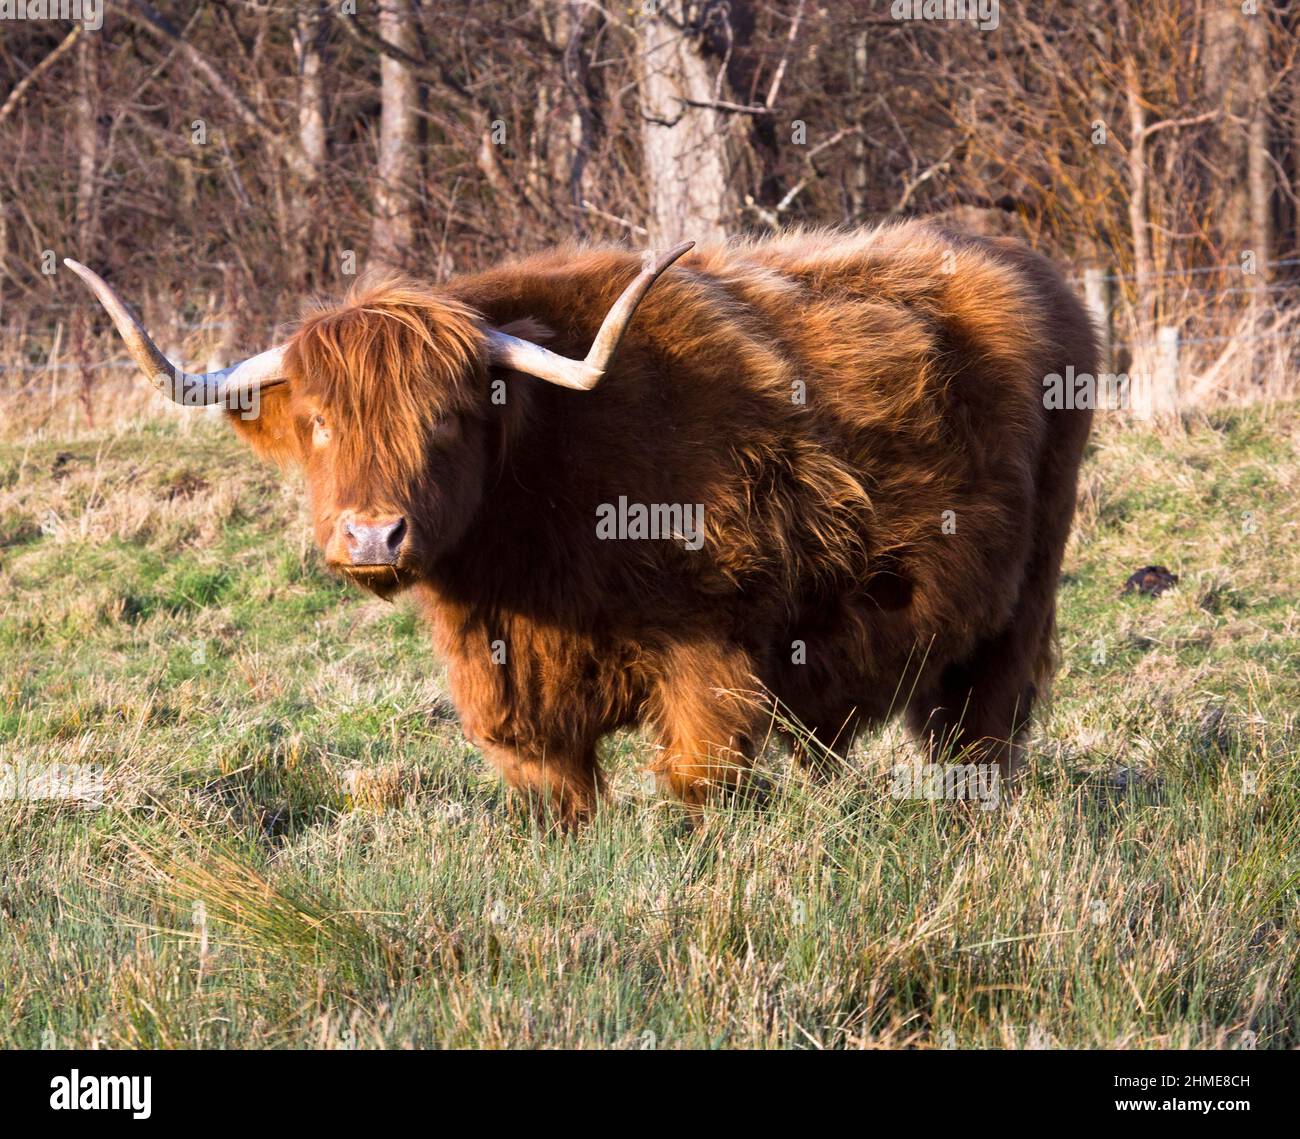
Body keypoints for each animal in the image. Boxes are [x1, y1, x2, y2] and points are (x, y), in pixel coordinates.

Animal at [67, 221, 1095, 827]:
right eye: (318, 422)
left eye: (447, 419)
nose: (371, 537)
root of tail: (1030, 266)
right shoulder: (515, 699)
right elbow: (558, 796)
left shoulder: (712, 655)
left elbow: (698, 782)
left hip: (1020, 602)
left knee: (985, 727)